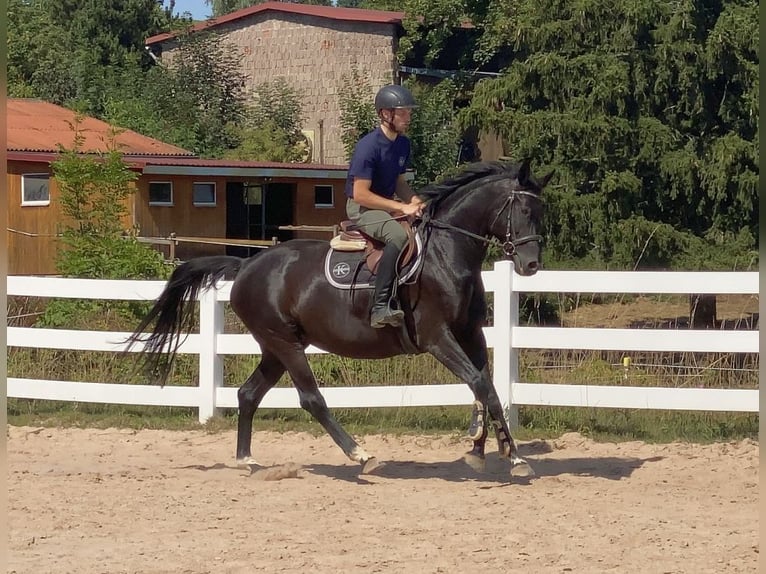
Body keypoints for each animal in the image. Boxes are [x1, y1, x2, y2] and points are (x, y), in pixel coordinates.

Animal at [125, 159, 552, 480]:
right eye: (522, 211)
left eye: (540, 212)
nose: (530, 266)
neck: (446, 254)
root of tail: (246, 265)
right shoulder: (437, 337)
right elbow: (480, 383)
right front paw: (501, 452)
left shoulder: (469, 333)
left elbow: (487, 386)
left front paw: (490, 449)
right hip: (285, 345)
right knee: (311, 399)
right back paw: (359, 454)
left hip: (276, 348)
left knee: (248, 394)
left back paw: (249, 460)